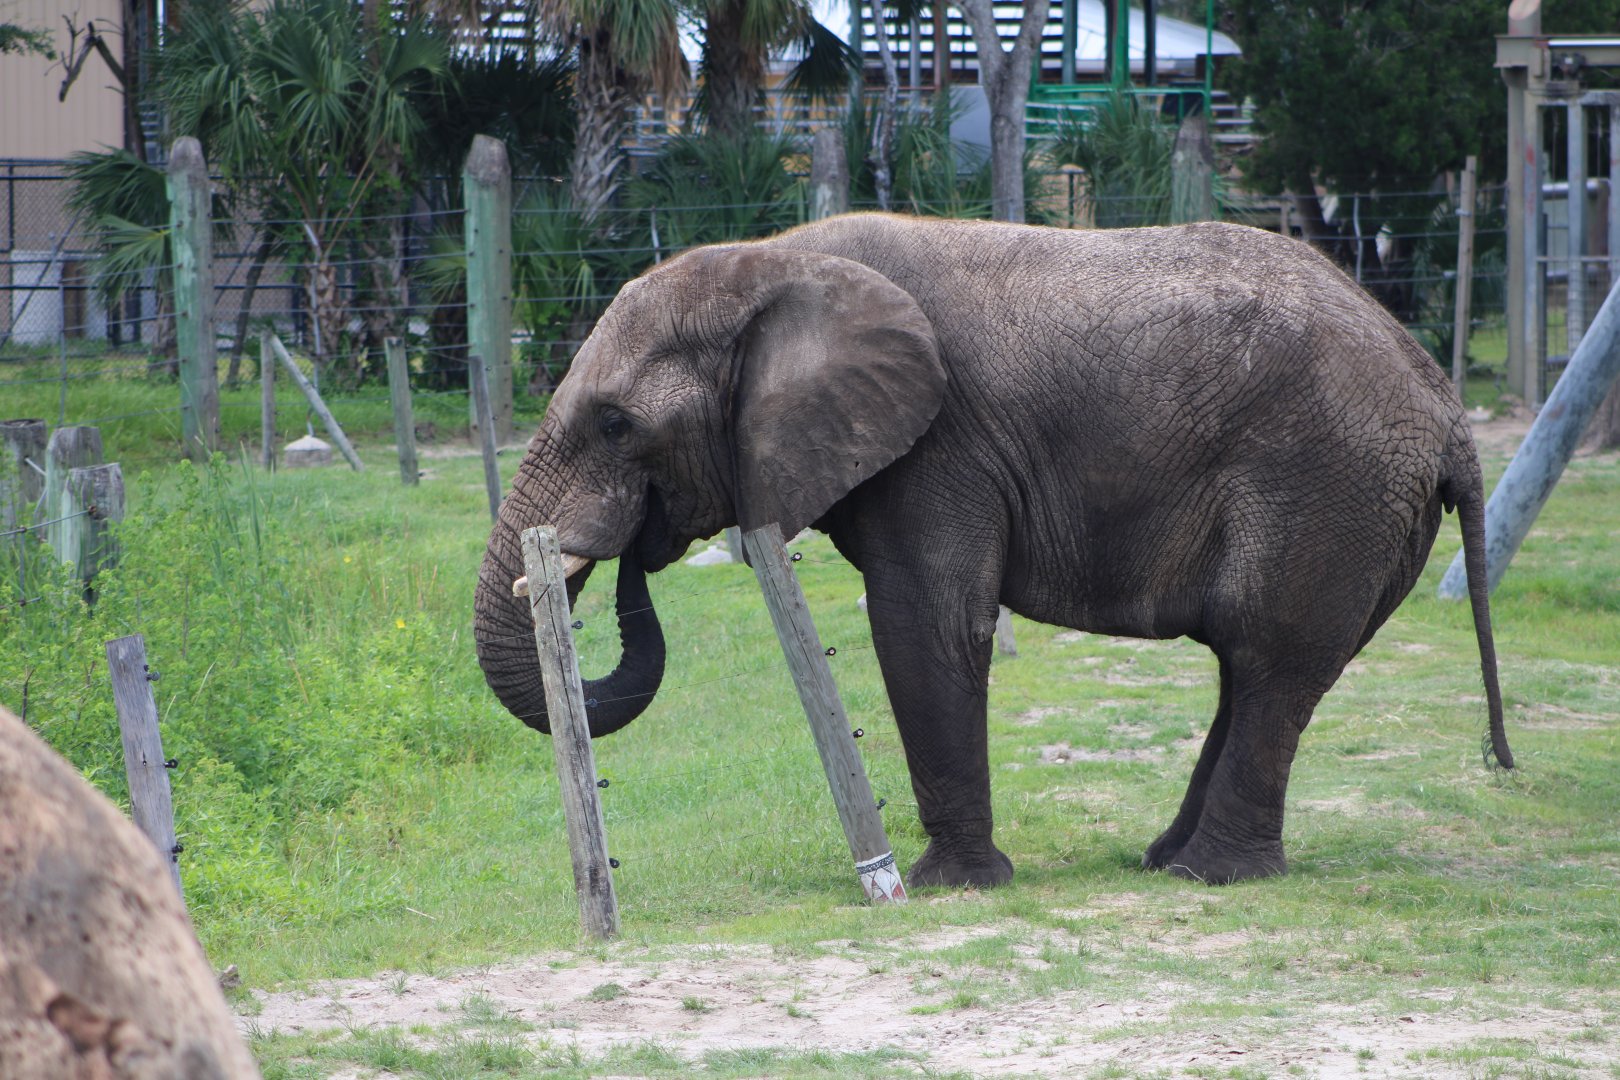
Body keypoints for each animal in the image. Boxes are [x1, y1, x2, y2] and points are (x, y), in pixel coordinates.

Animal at [473, 212, 1513, 889]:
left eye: (616, 426)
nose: (626, 551)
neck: (772, 262)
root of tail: (1444, 403)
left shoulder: (941, 445)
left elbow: (924, 622)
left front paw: (951, 887)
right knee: (1255, 666)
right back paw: (1167, 862)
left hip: (1327, 483)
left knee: (1269, 657)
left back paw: (1211, 879)